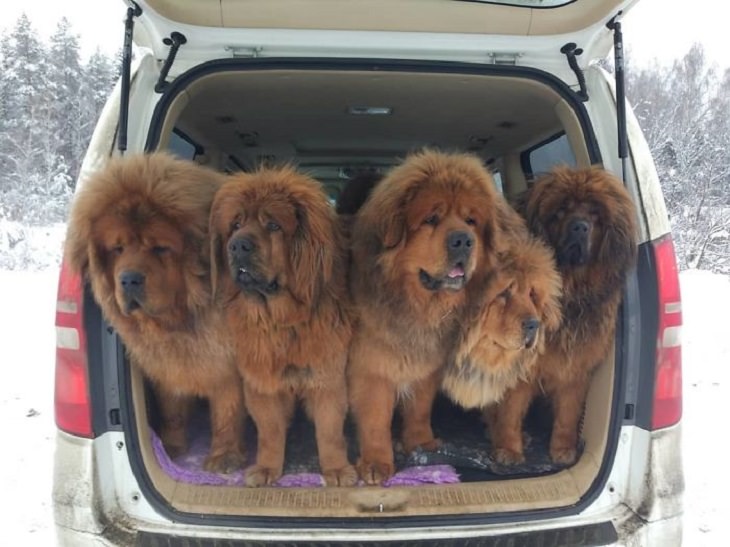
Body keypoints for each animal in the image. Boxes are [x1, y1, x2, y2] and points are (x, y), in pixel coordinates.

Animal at [63, 152, 245, 474]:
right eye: (118, 249)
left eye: (161, 248)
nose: (129, 279)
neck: (181, 322)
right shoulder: (168, 366)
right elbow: (172, 411)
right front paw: (172, 448)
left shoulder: (227, 367)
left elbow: (227, 411)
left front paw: (224, 456)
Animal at [208, 167, 356, 488]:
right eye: (235, 224)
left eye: (273, 225)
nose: (237, 245)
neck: (283, 322)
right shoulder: (262, 381)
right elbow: (270, 432)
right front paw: (267, 468)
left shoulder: (326, 377)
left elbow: (329, 432)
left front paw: (337, 469)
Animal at [346, 149, 506, 484]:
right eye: (431, 219)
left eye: (471, 221)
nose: (464, 240)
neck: (420, 307)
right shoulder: (371, 368)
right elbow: (375, 418)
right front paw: (376, 462)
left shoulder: (426, 365)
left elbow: (419, 407)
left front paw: (419, 442)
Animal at [490, 165, 636, 464]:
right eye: (561, 210)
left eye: (595, 214)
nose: (579, 226)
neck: (569, 290)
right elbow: (510, 409)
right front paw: (508, 447)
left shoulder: (576, 366)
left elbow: (568, 412)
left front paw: (562, 448)